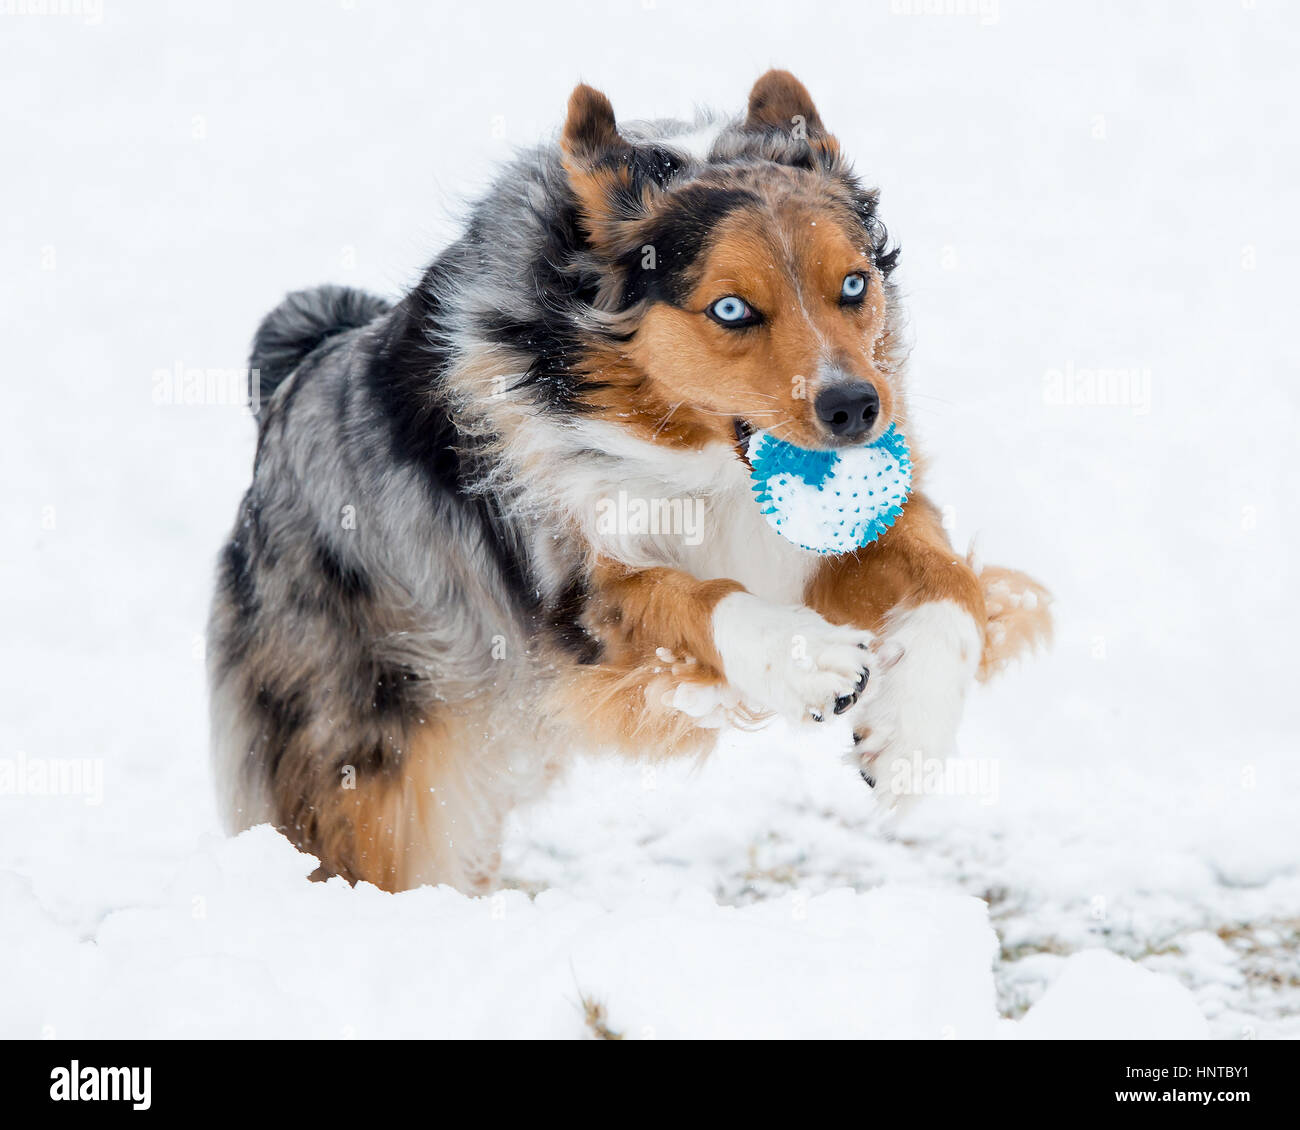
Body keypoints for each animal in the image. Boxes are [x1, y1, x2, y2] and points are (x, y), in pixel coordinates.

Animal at [205, 75, 1055, 894]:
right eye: (732, 308)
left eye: (853, 285)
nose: (853, 408)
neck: (708, 465)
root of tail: (288, 391)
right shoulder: (569, 600)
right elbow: (691, 597)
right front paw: (804, 658)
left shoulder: (836, 538)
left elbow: (948, 581)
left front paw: (910, 732)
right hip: (368, 769)